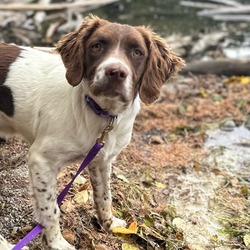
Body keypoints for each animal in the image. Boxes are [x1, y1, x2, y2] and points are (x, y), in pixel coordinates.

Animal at [0, 14, 184, 249]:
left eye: (137, 52)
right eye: (97, 46)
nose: (116, 72)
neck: (100, 113)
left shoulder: (101, 159)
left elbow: (104, 195)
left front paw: (110, 224)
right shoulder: (41, 160)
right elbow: (51, 210)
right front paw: (57, 243)